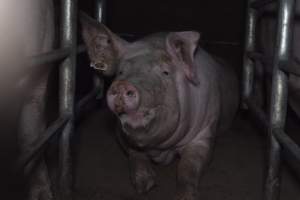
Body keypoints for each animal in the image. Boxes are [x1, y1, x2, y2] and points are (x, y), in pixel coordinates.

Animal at [79, 12, 239, 200]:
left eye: (165, 72)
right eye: (120, 72)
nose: (123, 85)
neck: (160, 149)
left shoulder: (205, 131)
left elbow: (188, 166)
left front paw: (185, 196)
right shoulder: (120, 133)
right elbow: (135, 154)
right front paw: (144, 187)